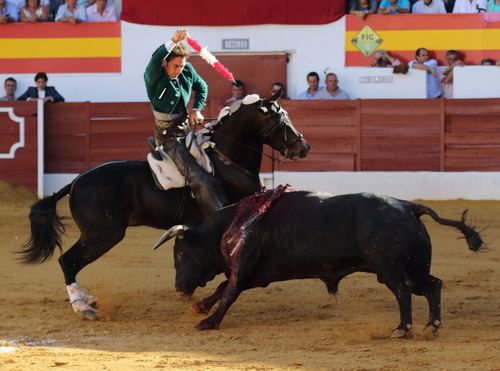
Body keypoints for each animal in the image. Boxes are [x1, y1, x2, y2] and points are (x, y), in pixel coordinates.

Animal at [20, 92, 308, 320]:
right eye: (281, 120)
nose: (304, 147)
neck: (227, 159)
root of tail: (74, 182)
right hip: (102, 234)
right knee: (67, 261)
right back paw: (82, 307)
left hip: (97, 234)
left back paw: (88, 300)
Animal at [156, 190, 484, 338]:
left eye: (180, 254)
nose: (179, 287)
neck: (233, 222)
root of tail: (409, 206)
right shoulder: (255, 274)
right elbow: (224, 287)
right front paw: (200, 306)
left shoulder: (245, 264)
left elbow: (228, 292)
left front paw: (208, 322)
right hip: (414, 266)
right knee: (433, 285)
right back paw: (432, 325)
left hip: (389, 267)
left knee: (403, 289)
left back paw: (403, 328)